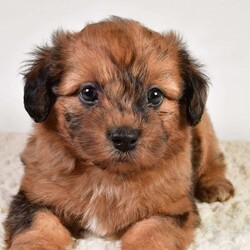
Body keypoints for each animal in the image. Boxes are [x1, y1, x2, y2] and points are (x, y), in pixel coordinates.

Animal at [3, 16, 234, 249]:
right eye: (88, 92)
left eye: (155, 95)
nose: (124, 138)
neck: (107, 176)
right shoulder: (35, 199)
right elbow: (37, 228)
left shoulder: (170, 209)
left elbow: (151, 235)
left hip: (203, 127)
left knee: (213, 159)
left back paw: (216, 185)